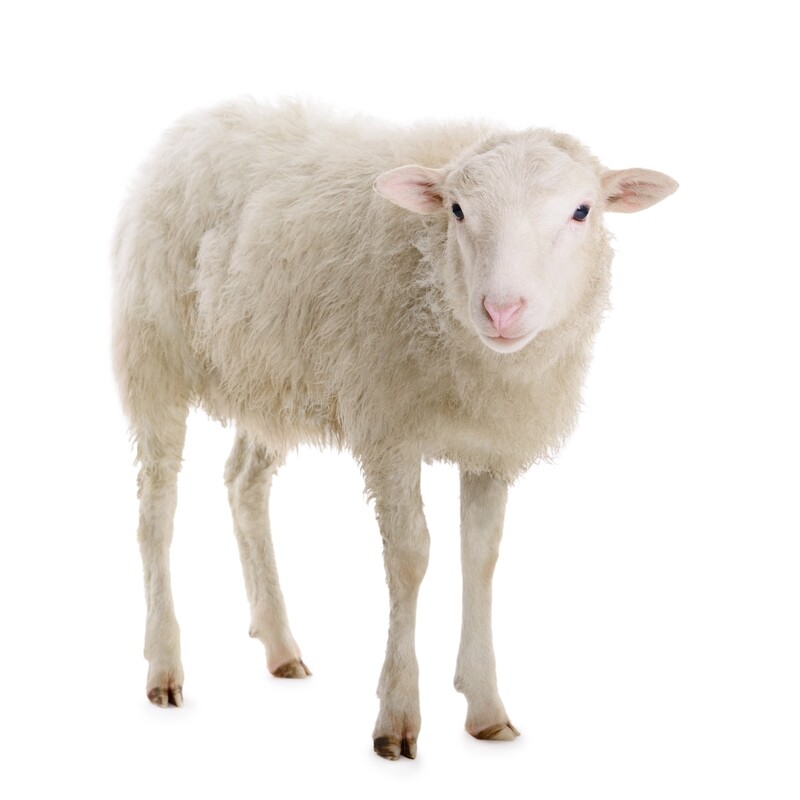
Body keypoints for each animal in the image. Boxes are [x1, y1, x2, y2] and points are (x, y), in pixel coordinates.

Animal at [112, 99, 677, 760]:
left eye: (582, 211)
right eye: (457, 210)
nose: (501, 311)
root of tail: (199, 122)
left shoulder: (489, 444)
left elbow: (480, 557)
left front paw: (487, 709)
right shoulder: (389, 432)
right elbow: (410, 557)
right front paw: (397, 718)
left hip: (267, 378)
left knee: (243, 484)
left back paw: (280, 646)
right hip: (154, 353)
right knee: (157, 509)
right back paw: (164, 666)